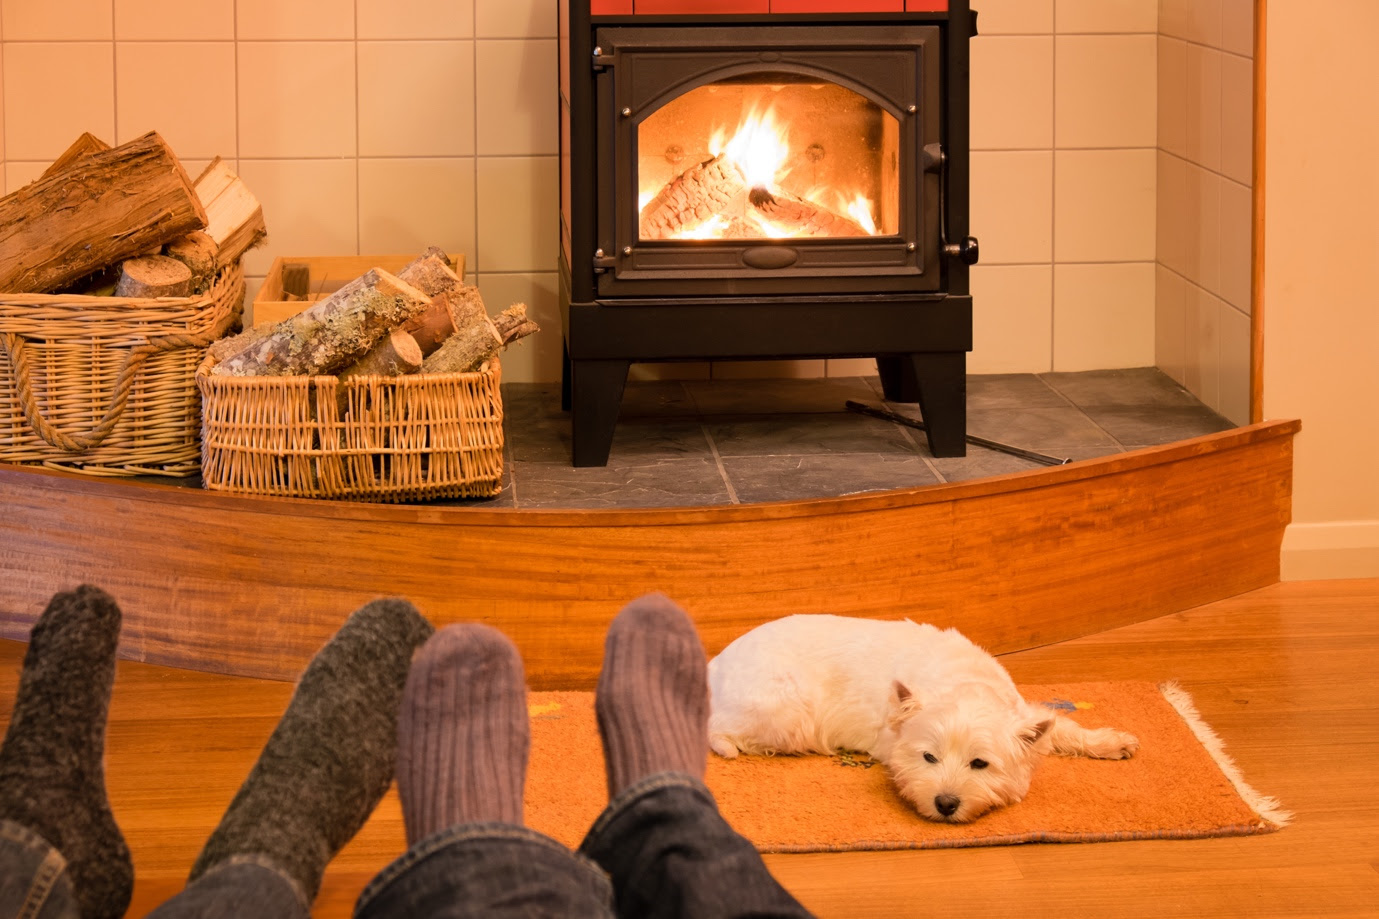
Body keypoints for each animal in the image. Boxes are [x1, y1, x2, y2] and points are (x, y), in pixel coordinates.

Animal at [706, 612, 1136, 816]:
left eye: (979, 763)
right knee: (721, 732)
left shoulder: (1025, 713)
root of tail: (714, 664)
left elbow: (1062, 726)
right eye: (929, 757)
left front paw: (1115, 742)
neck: (963, 682)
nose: (945, 804)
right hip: (787, 710)